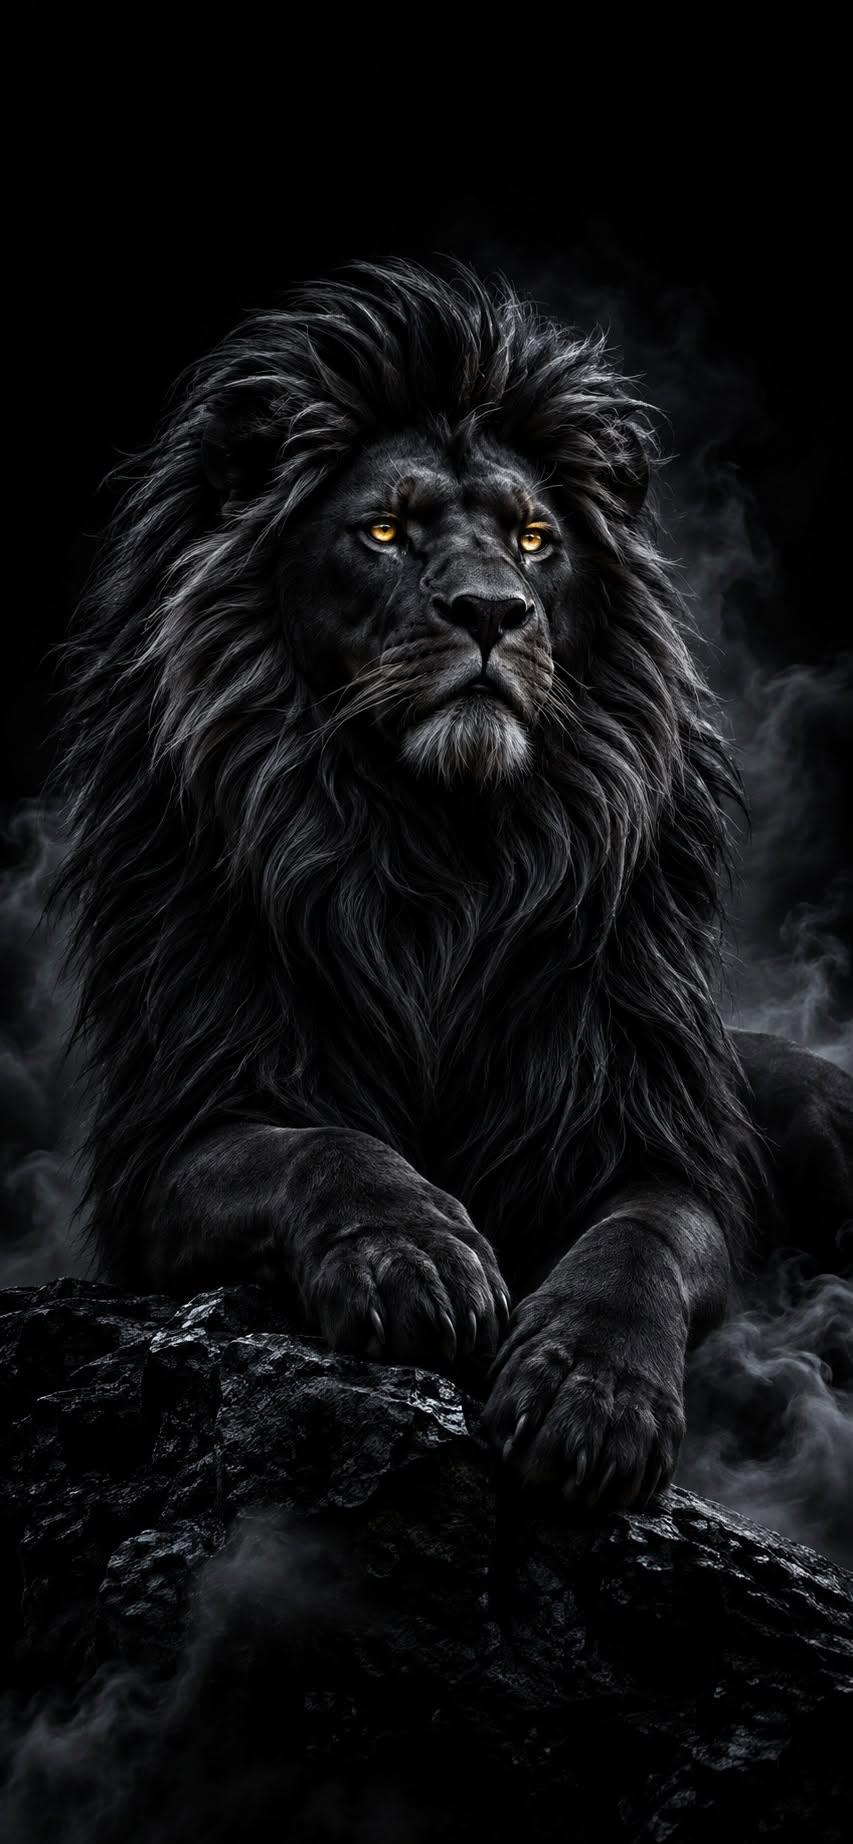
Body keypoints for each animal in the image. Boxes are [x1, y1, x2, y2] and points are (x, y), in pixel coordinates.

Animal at [51, 261, 852, 1513]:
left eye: (532, 539)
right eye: (383, 529)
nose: (491, 611)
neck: (440, 852)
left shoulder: (658, 1142)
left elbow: (637, 1244)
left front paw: (589, 1391)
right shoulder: (173, 1136)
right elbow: (322, 1145)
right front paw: (416, 1255)